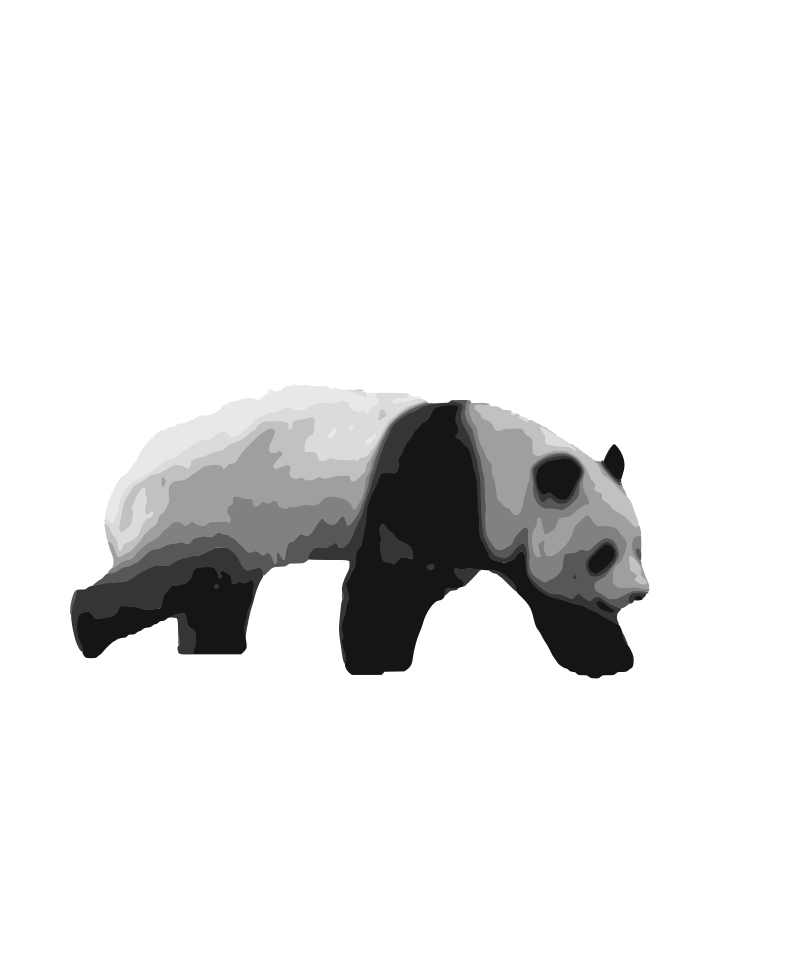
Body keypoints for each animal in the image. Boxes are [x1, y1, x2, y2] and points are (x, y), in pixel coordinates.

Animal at [71, 386, 649, 678]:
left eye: (638, 546)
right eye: (602, 553)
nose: (638, 594)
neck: (499, 468)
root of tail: (118, 493)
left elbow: (557, 602)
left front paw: (608, 660)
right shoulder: (432, 483)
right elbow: (393, 579)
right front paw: (378, 664)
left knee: (213, 593)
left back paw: (215, 653)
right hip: (199, 510)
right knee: (169, 579)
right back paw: (87, 632)